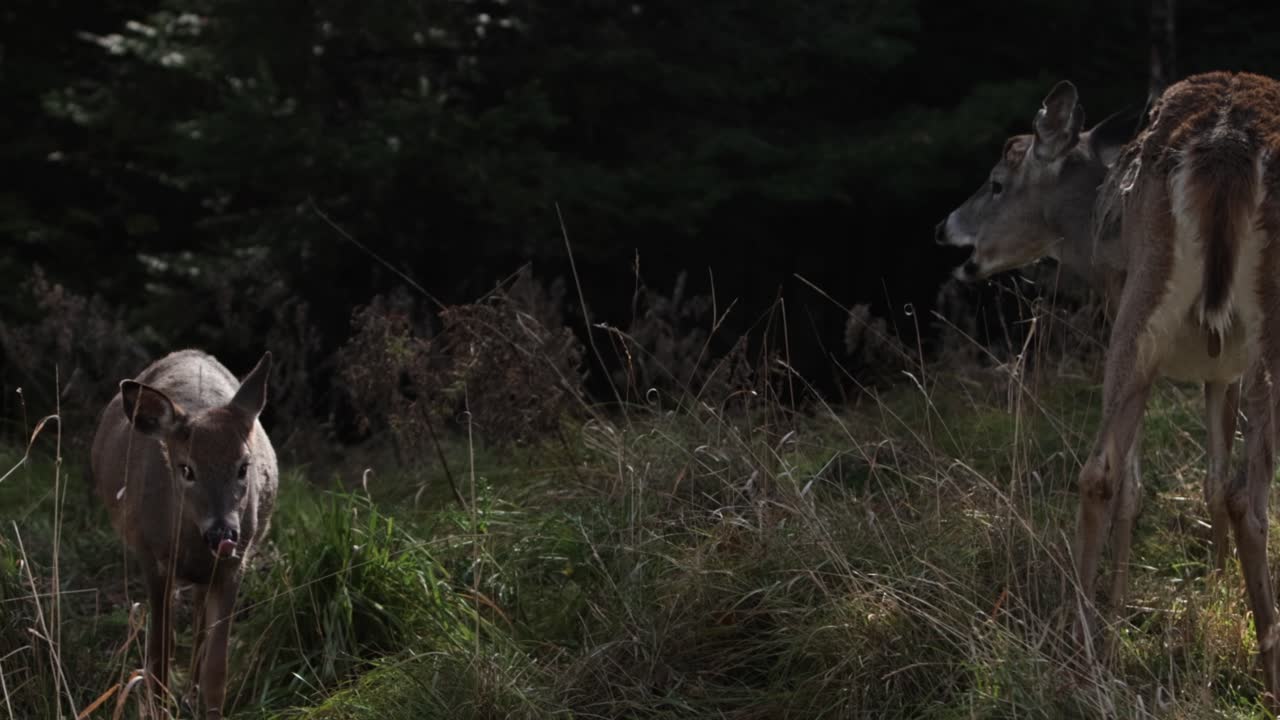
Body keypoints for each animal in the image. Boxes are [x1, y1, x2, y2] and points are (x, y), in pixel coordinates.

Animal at [91, 349, 278, 718]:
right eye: (186, 469)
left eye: (243, 467)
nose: (224, 531)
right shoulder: (152, 558)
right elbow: (159, 656)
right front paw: (160, 708)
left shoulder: (235, 565)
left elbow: (217, 670)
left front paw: (206, 705)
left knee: (200, 622)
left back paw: (191, 694)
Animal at [935, 71, 1280, 698]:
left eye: (996, 183)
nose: (944, 227)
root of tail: (1226, 145)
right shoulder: (1220, 363)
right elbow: (1195, 483)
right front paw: (1207, 601)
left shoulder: (1208, 360)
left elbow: (1191, 483)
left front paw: (1185, 602)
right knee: (1229, 490)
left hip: (1143, 311)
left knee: (1110, 473)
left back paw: (1084, 650)